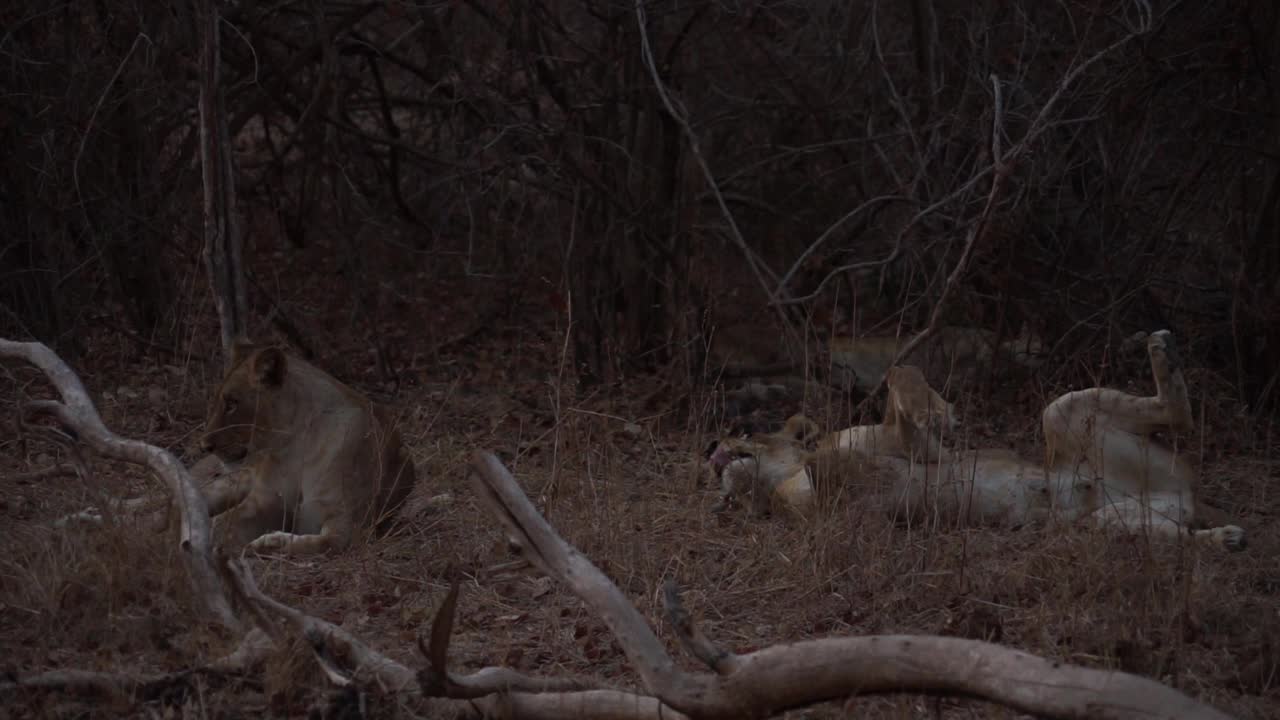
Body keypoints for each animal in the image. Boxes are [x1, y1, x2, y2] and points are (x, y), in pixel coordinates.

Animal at [194, 338, 417, 550]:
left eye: (232, 403)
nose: (204, 446)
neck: (296, 443)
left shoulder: (349, 522)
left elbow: (322, 543)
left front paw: (270, 543)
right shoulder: (265, 500)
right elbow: (222, 523)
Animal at [706, 330, 1244, 548]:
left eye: (744, 431)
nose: (710, 449)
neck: (784, 477)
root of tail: (1187, 495)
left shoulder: (914, 448)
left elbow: (901, 373)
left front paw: (938, 410)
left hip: (1064, 413)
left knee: (1177, 415)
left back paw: (1162, 348)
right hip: (1108, 520)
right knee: (1178, 522)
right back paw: (1226, 539)